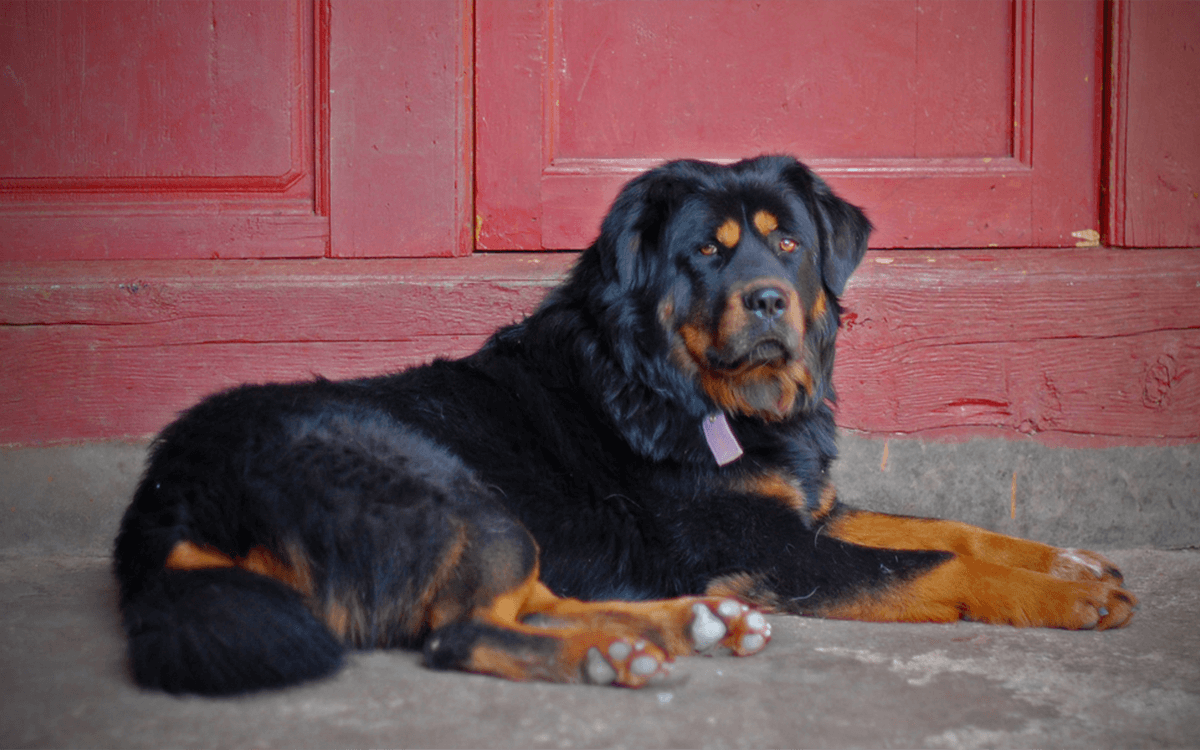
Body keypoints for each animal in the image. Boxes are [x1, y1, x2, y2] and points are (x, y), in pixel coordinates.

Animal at [112, 154, 1132, 691]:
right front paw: (1062, 597)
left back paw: (679, 627)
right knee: (463, 630)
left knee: (524, 597)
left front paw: (1069, 563)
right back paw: (620, 652)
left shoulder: (808, 510)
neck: (695, 396)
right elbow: (939, 561)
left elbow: (954, 527)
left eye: (788, 242)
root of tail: (169, 490)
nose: (768, 299)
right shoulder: (773, 547)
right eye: (707, 254)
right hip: (450, 491)